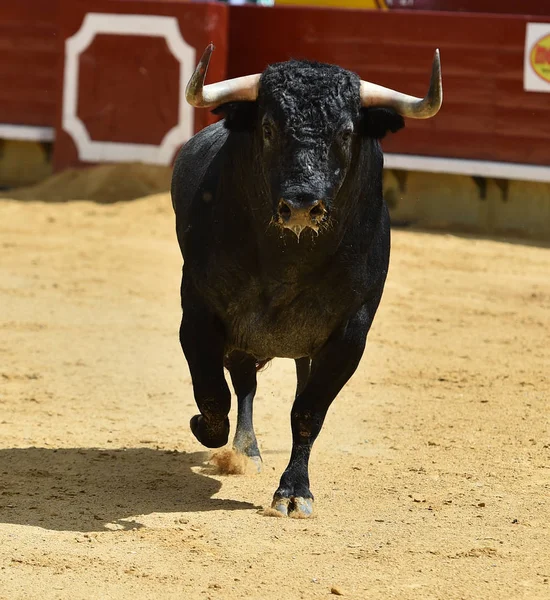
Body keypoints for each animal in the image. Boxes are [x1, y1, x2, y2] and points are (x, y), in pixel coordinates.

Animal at [172, 49, 444, 516]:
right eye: (267, 128)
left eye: (347, 133)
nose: (301, 204)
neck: (289, 262)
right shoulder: (199, 315)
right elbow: (213, 397)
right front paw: (205, 430)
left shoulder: (351, 333)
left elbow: (308, 413)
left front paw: (294, 491)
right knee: (244, 384)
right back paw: (246, 451)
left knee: (289, 382)